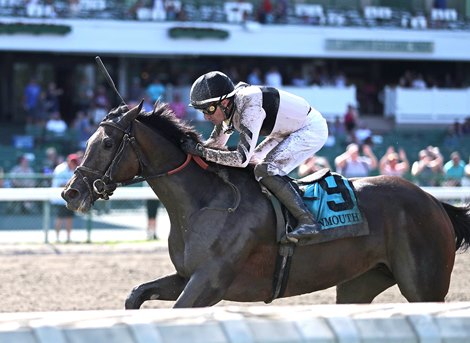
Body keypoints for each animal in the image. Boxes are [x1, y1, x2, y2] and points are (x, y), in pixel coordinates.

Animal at [61, 101, 470, 310]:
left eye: (107, 144)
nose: (71, 193)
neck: (204, 204)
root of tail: (435, 202)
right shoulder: (187, 276)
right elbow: (136, 295)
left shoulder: (210, 282)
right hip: (359, 284)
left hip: (425, 288)